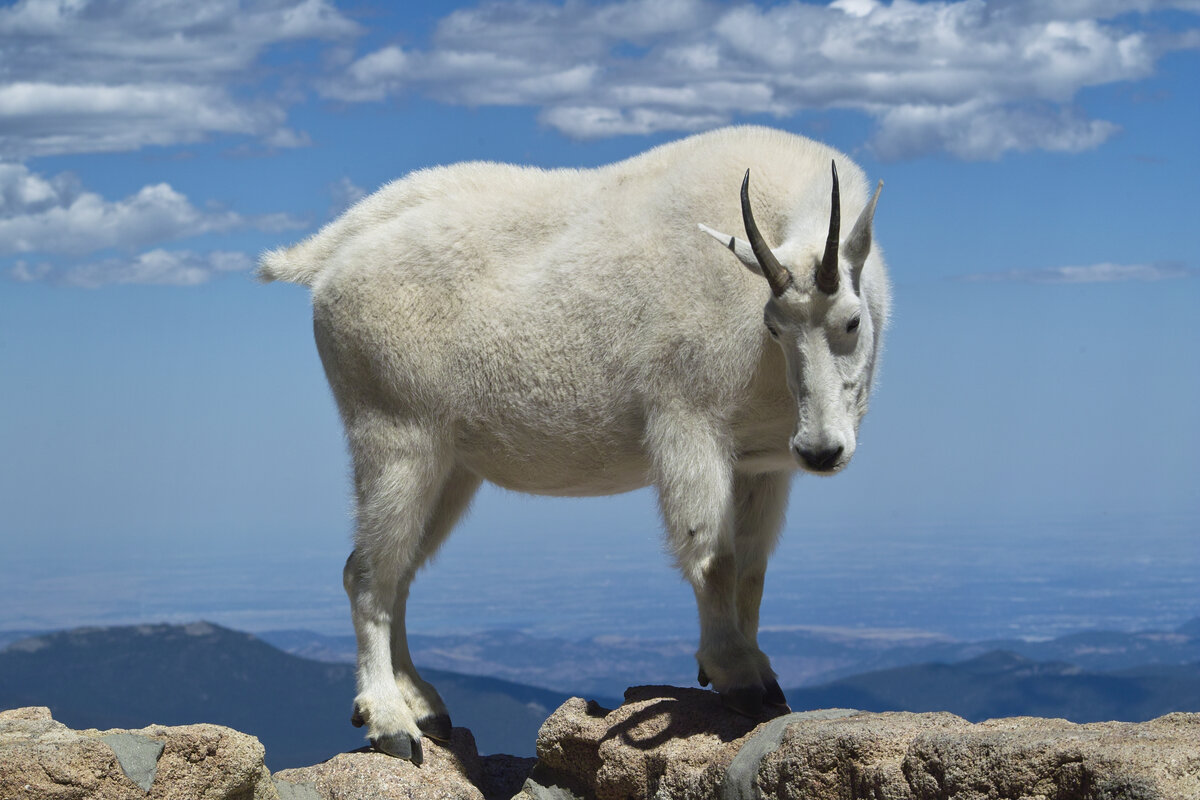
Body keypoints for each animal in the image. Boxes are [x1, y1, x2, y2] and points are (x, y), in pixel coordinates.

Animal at [260, 126, 890, 762]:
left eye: (852, 320)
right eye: (773, 326)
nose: (821, 451)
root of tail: (330, 256)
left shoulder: (761, 463)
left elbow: (753, 569)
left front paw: (757, 667)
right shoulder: (688, 420)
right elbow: (714, 556)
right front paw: (737, 675)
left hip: (449, 462)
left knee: (400, 573)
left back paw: (424, 704)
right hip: (393, 431)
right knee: (367, 574)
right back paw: (389, 720)